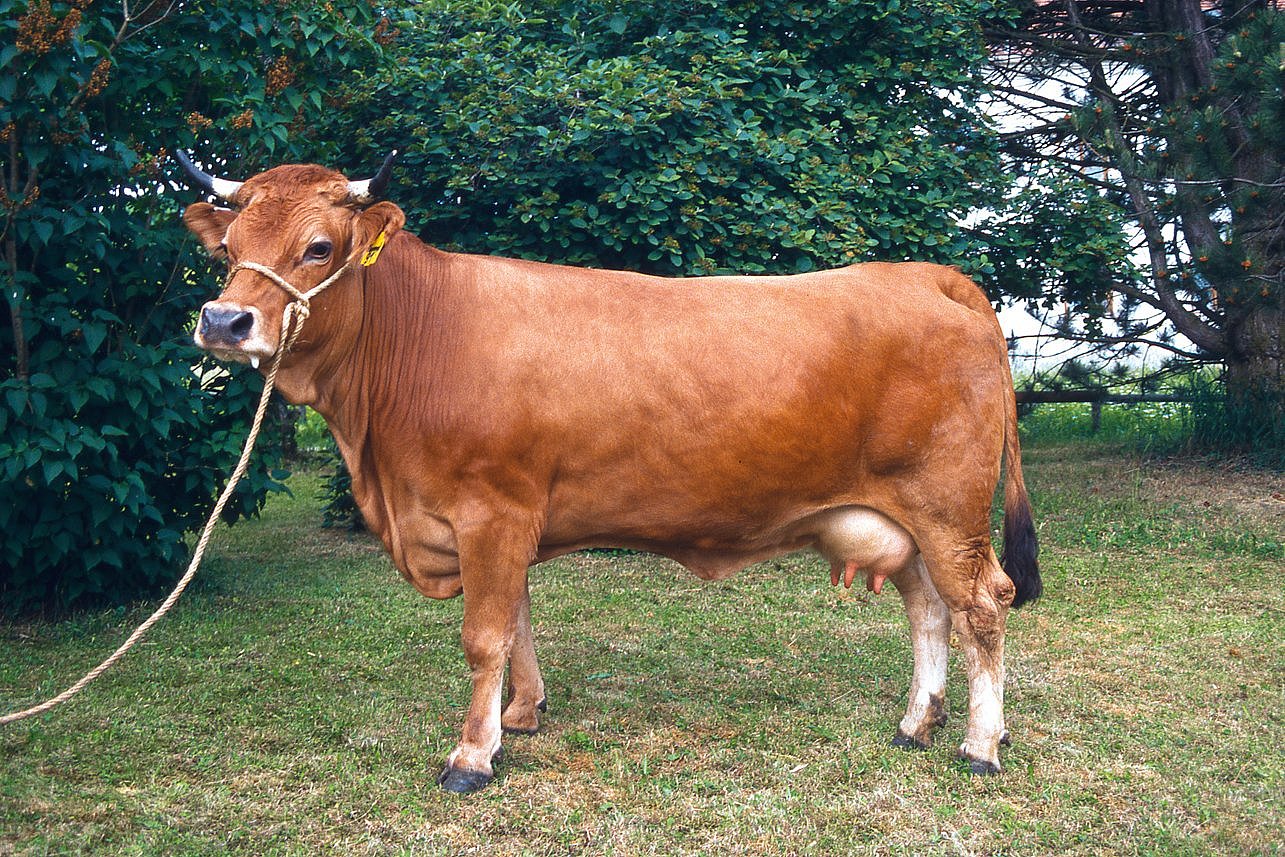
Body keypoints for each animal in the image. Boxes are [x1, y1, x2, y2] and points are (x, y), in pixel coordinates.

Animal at [178, 154, 1043, 796]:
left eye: (319, 246)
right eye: (225, 249)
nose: (223, 321)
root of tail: (927, 275)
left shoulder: (490, 511)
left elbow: (483, 634)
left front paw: (470, 755)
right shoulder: (508, 518)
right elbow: (518, 619)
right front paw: (521, 714)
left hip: (949, 510)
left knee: (981, 607)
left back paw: (979, 742)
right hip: (901, 518)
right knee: (928, 611)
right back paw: (916, 722)